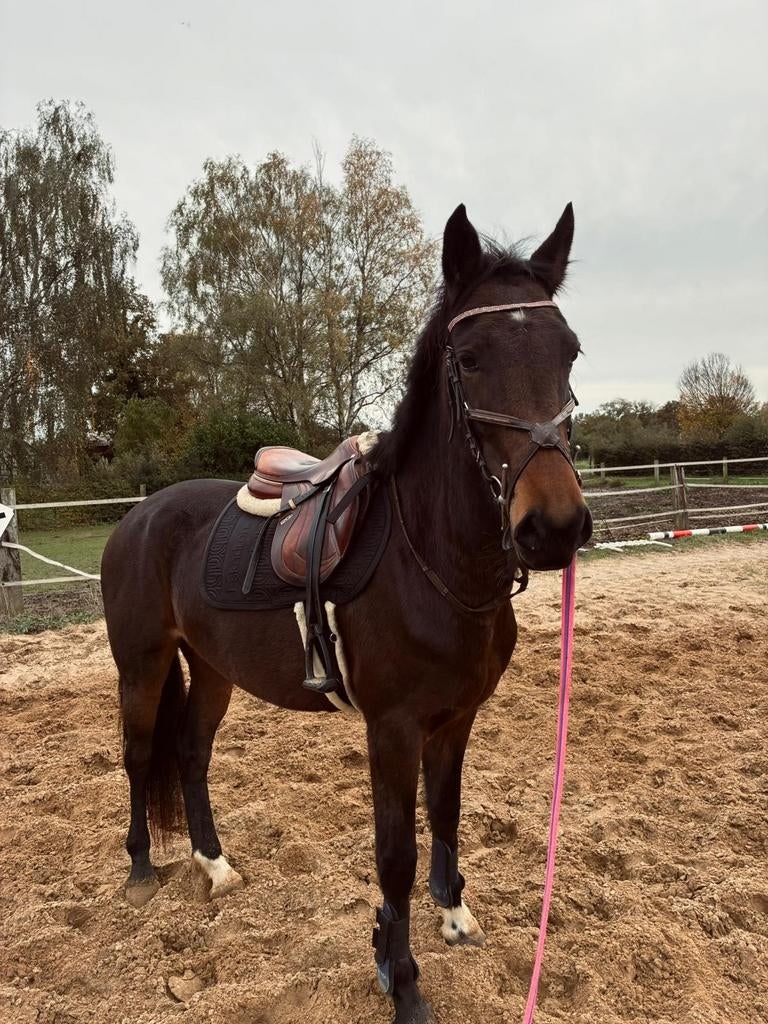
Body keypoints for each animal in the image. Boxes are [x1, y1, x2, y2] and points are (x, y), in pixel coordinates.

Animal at [101, 201, 592, 1024]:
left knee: (192, 754)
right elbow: (394, 856)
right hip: (141, 664)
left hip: (211, 667)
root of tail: (138, 516)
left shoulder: (455, 719)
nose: (554, 528)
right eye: (470, 358)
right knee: (141, 756)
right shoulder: (390, 728)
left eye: (571, 352)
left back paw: (215, 864)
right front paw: (401, 977)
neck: (433, 562)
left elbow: (445, 812)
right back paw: (141, 870)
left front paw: (454, 914)